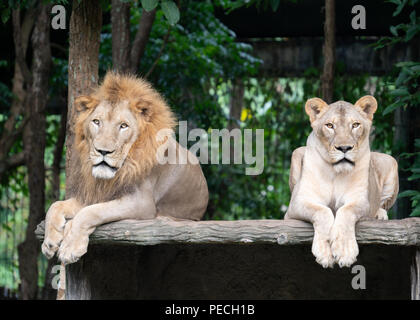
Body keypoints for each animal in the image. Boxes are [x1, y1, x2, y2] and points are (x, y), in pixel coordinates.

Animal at [41, 72, 209, 264]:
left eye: (123, 126)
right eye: (96, 122)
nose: (103, 151)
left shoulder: (141, 203)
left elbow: (91, 212)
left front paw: (70, 246)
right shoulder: (95, 194)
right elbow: (55, 205)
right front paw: (49, 241)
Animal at [286, 96, 398, 268]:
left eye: (355, 125)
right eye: (330, 126)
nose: (344, 148)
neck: (335, 173)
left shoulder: (360, 200)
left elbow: (346, 211)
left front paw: (345, 251)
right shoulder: (297, 203)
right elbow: (322, 211)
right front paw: (325, 252)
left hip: (390, 160)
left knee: (382, 203)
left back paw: (380, 215)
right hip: (297, 152)